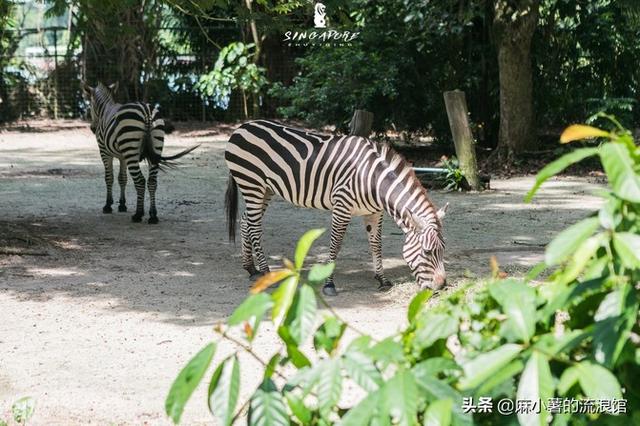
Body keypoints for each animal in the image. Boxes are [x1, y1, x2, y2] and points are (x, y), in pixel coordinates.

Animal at [83, 81, 198, 225]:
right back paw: (153, 216)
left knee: (140, 181)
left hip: (131, 150)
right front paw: (122, 205)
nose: (93, 128)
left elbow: (109, 178)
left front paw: (108, 206)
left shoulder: (104, 152)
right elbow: (122, 178)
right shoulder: (122, 157)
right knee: (152, 181)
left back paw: (138, 214)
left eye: (90, 105)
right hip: (155, 146)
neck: (105, 109)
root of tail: (146, 111)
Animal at [225, 118, 450, 294]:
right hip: (252, 184)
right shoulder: (342, 207)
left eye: (443, 250)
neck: (373, 180)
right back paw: (266, 273)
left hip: (265, 189)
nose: (442, 287)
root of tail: (242, 127)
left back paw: (251, 269)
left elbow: (376, 244)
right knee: (254, 227)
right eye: (427, 252)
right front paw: (329, 284)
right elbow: (336, 244)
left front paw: (382, 279)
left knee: (245, 221)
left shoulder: (375, 213)